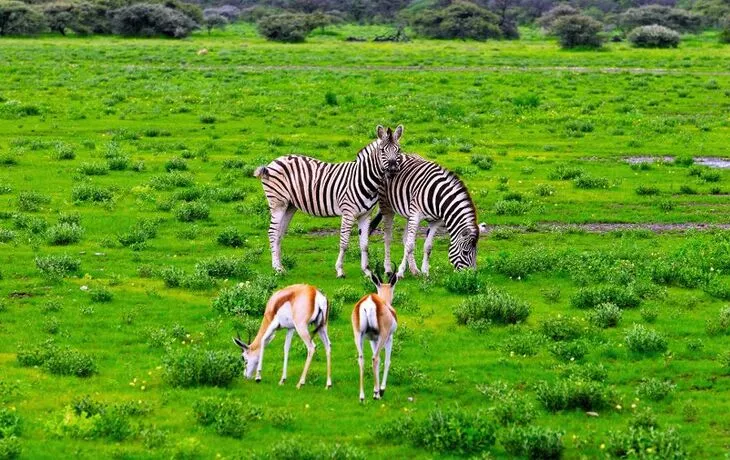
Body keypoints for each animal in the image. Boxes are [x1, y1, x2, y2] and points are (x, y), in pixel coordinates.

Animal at [254, 125, 404, 278]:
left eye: (398, 150)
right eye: (382, 150)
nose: (393, 170)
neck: (364, 179)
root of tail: (275, 161)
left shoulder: (365, 215)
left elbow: (365, 244)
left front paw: (367, 271)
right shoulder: (348, 212)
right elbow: (344, 242)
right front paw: (340, 270)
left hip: (289, 206)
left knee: (279, 233)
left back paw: (281, 266)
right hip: (278, 203)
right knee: (272, 232)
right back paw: (276, 268)